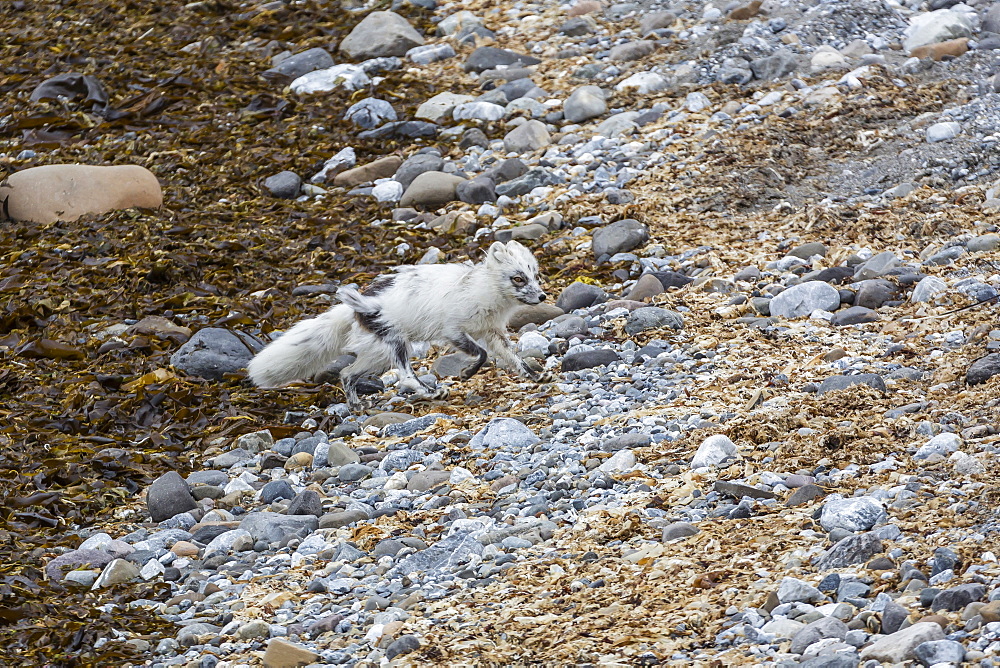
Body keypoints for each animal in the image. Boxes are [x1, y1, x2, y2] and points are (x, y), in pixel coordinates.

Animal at [247, 240, 552, 408]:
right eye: (518, 278)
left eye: (535, 275)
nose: (542, 297)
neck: (483, 291)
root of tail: (352, 306)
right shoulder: (453, 330)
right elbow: (482, 354)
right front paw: (467, 373)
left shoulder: (493, 332)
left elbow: (514, 358)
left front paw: (536, 376)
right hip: (396, 343)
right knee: (405, 376)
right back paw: (432, 393)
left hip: (378, 355)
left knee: (346, 373)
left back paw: (357, 406)